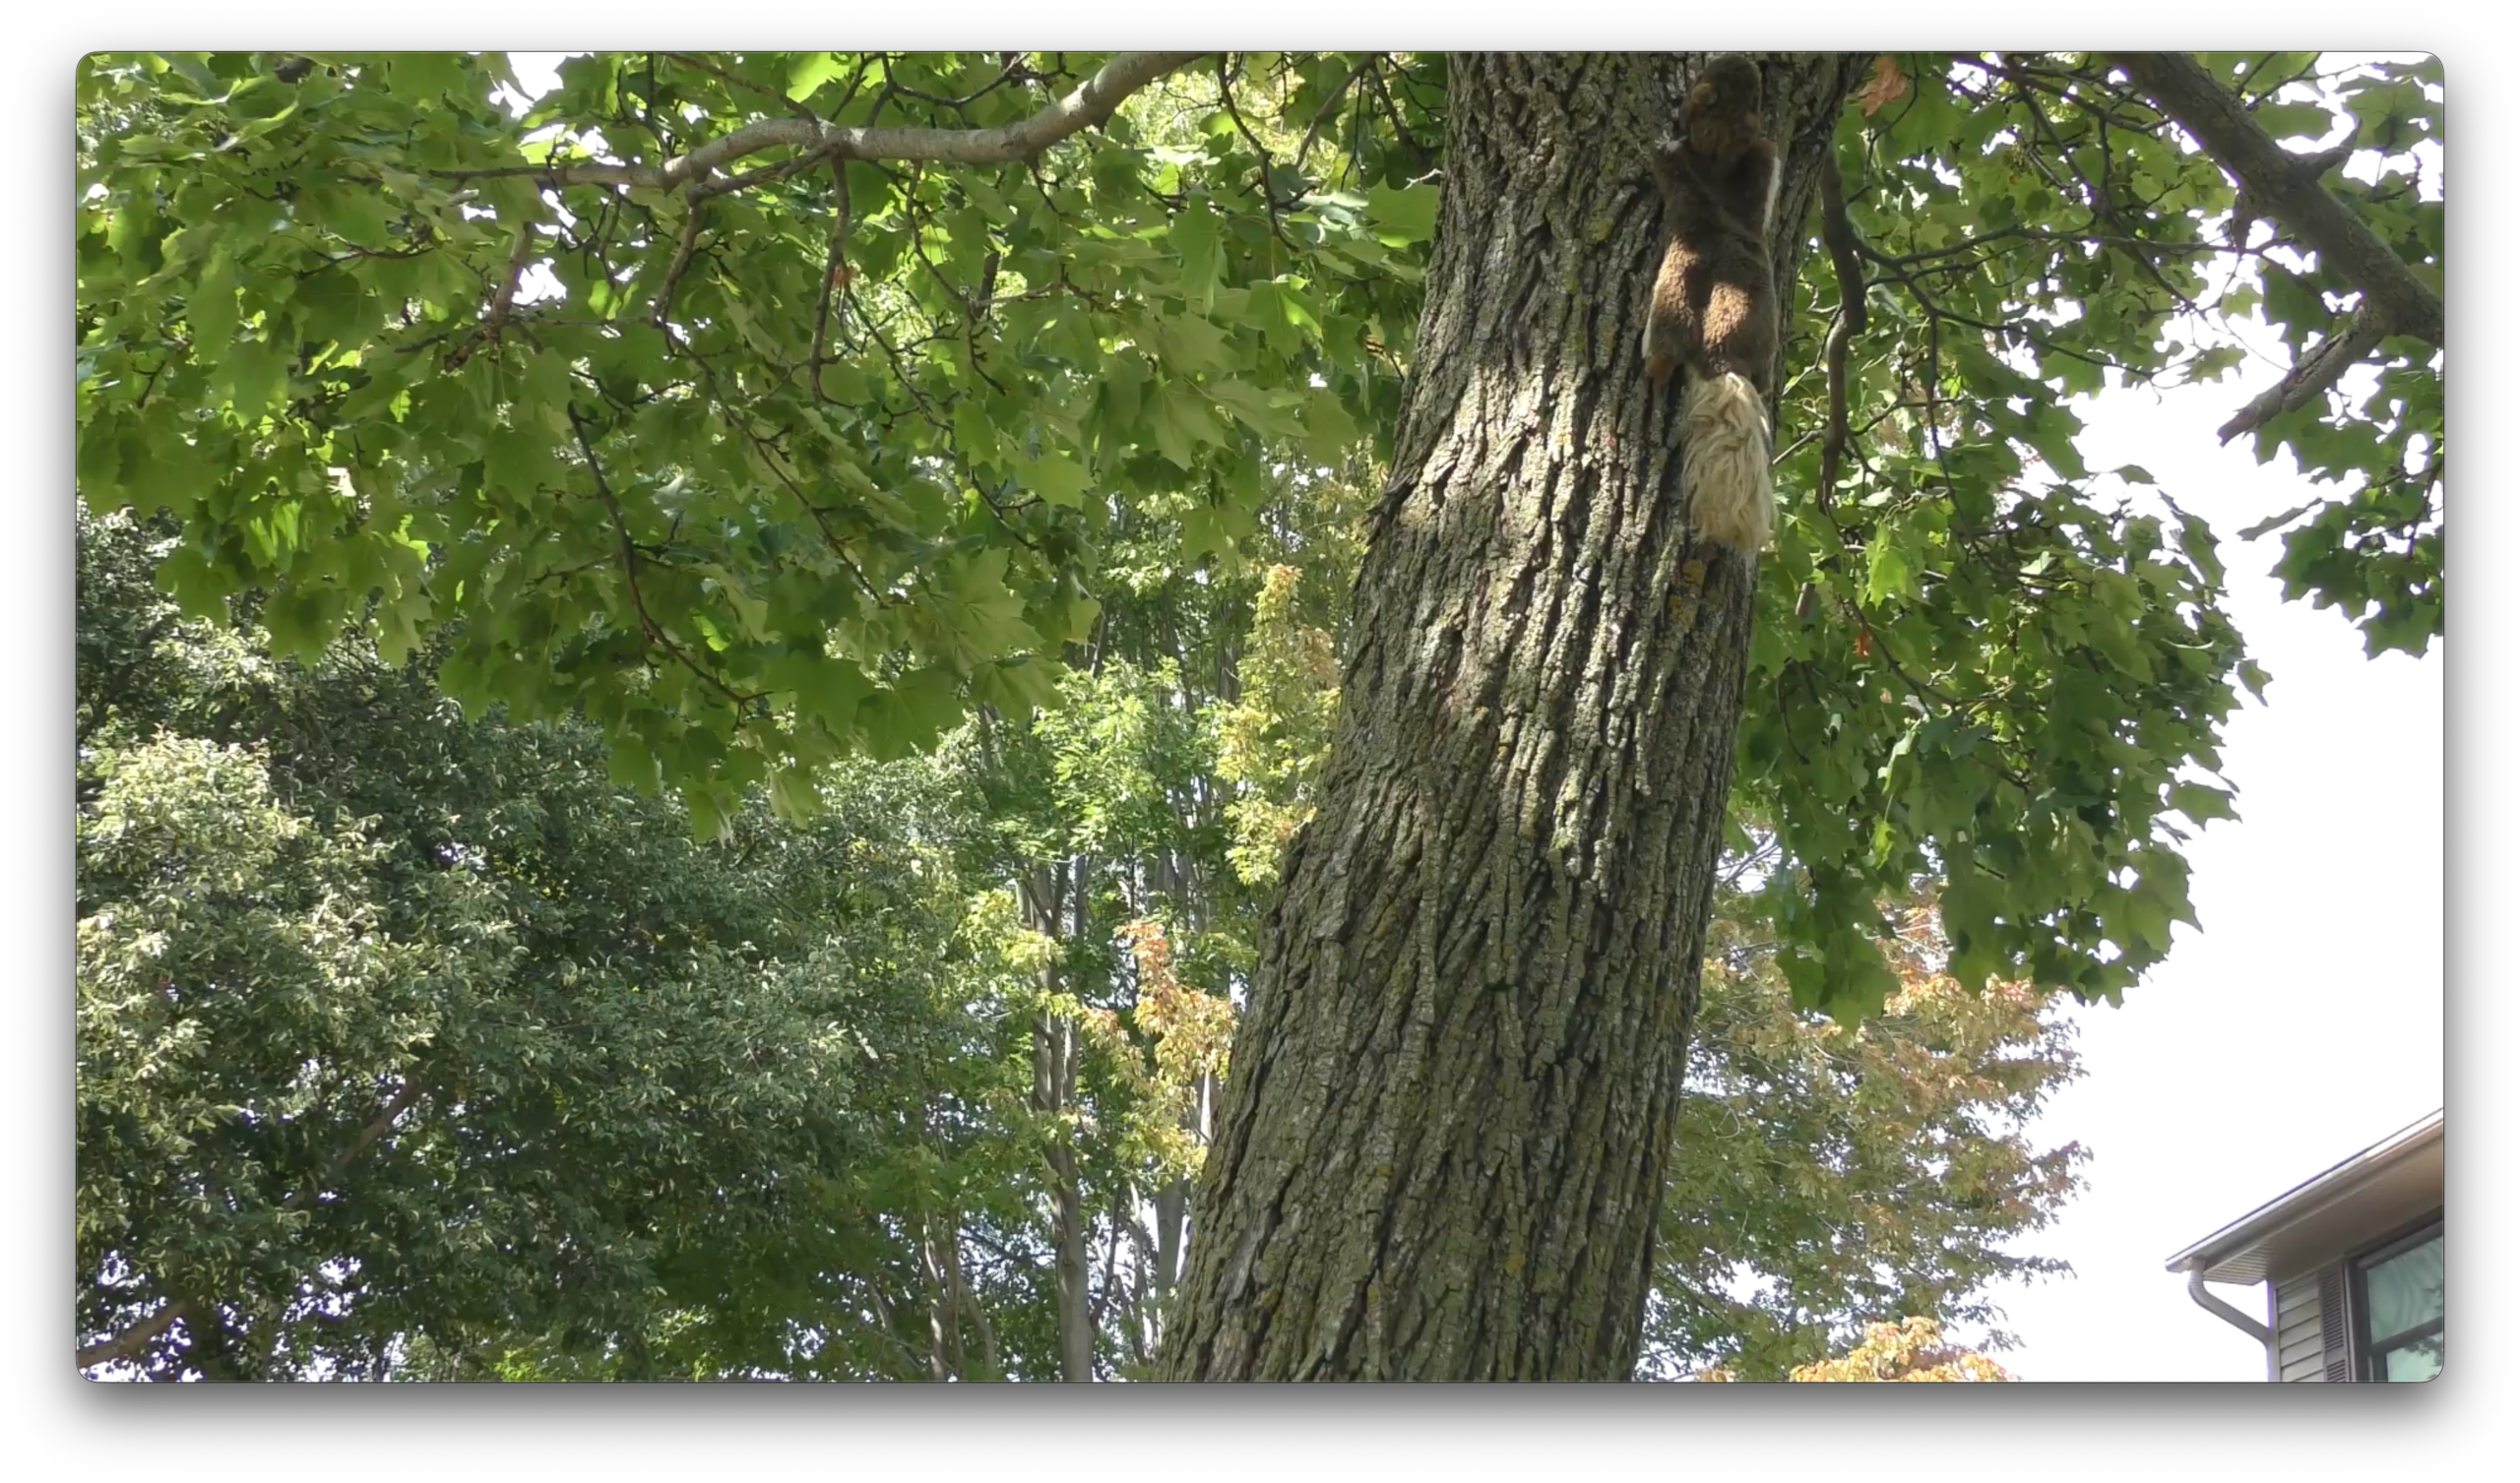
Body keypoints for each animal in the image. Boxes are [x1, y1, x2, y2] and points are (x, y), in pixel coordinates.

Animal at [1642, 54, 1782, 556]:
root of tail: (1720, 357)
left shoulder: (1678, 159)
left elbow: (1666, 157)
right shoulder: (1762, 154)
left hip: (1670, 304)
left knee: (1660, 352)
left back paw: (1655, 376)